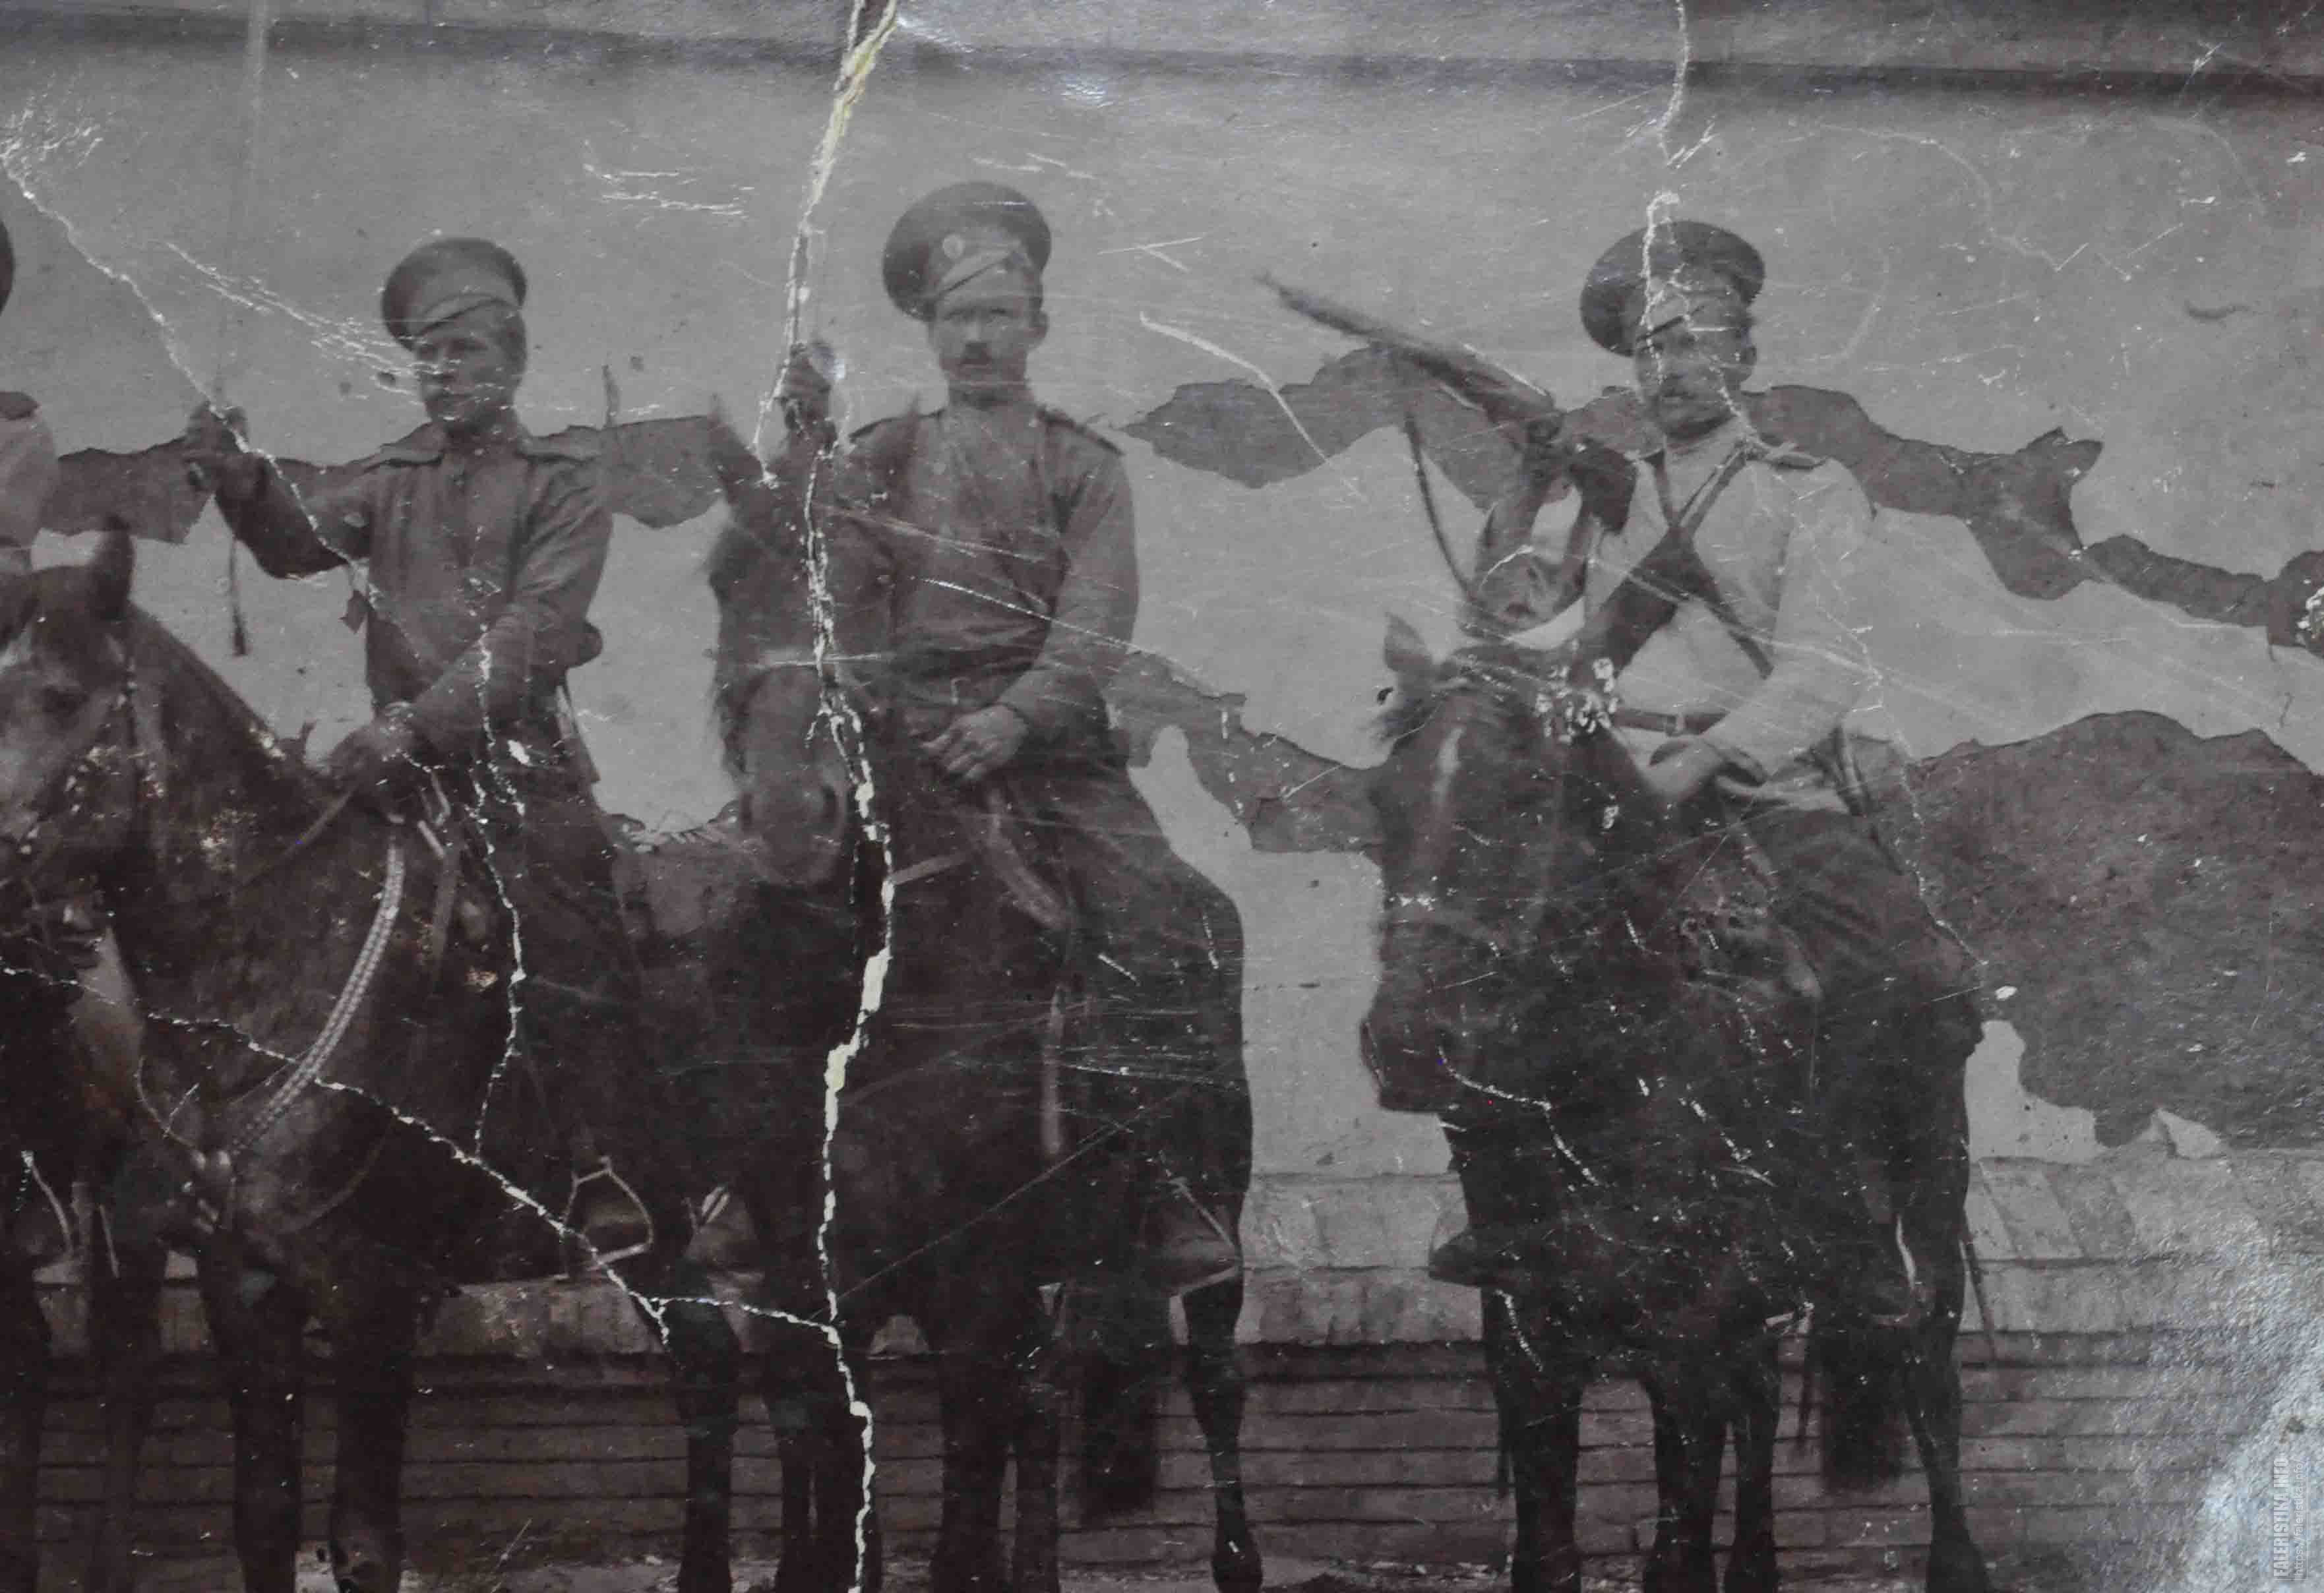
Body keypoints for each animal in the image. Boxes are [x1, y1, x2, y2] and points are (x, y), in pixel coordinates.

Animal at [0, 530, 744, 1593]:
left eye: (60, 695)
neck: (277, 957)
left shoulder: (372, 1299)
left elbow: (361, 1539)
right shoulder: (244, 1286)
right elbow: (264, 1516)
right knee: (714, 1367)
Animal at [703, 451, 1261, 1593]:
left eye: (871, 583)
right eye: (725, 576)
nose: (796, 817)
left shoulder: (976, 1279)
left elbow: (968, 1472)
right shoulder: (814, 1277)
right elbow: (835, 1468)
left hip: (1211, 1195)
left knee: (1210, 1374)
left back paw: (1236, 1560)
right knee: (1047, 1392)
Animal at [1359, 621, 1992, 1593]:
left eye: (1528, 795)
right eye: (1382, 800)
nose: (1408, 1043)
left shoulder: (1686, 1330)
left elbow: (1677, 1541)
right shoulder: (1528, 1329)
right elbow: (1547, 1549)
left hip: (1929, 1183)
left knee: (1928, 1366)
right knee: (1763, 1394)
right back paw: (1758, 1565)